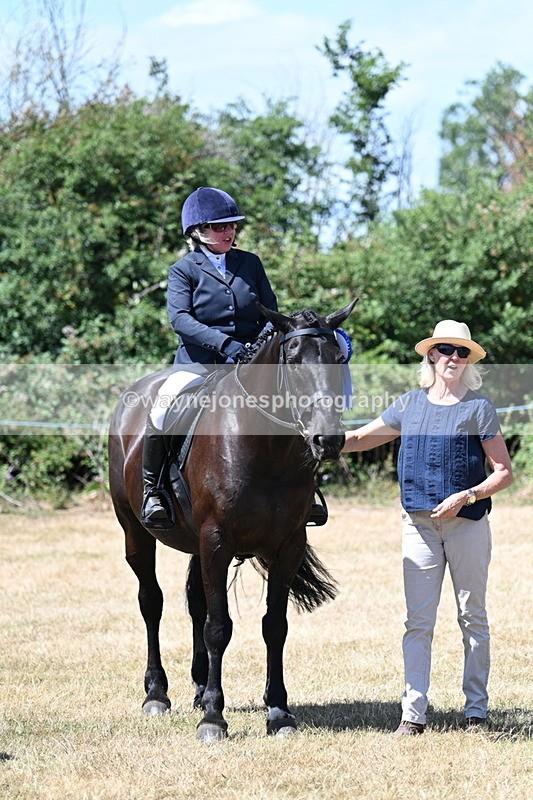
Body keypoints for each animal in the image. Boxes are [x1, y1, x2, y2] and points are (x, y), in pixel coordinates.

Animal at [108, 299, 357, 742]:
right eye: (293, 361)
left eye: (337, 359)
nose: (328, 441)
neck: (265, 450)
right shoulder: (217, 541)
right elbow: (218, 627)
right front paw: (213, 718)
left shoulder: (287, 546)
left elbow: (274, 626)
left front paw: (279, 713)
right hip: (135, 532)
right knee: (151, 602)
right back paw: (157, 694)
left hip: (195, 545)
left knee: (194, 603)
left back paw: (197, 688)